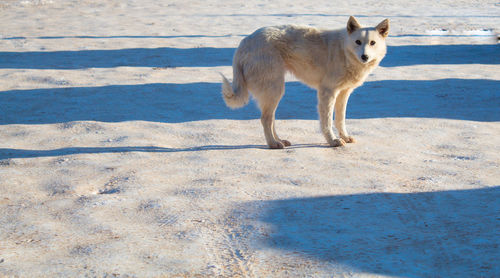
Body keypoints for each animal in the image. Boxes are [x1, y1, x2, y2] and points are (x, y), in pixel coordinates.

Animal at [221, 16, 388, 149]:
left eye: (372, 43)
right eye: (358, 42)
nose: (365, 57)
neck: (344, 52)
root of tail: (245, 42)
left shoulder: (344, 93)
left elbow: (340, 119)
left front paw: (345, 137)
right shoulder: (327, 92)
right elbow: (327, 121)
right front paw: (333, 141)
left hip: (274, 92)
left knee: (270, 118)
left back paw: (280, 140)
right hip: (275, 89)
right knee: (265, 119)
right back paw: (273, 144)